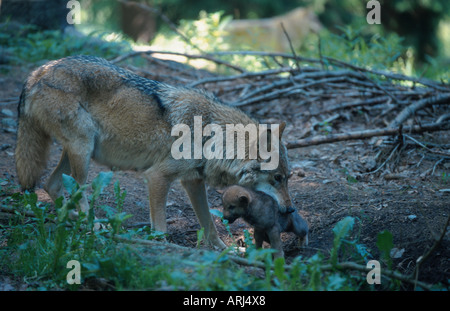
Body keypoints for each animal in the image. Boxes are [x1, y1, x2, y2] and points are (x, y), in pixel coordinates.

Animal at [14, 56, 292, 250]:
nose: (290, 211)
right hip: (83, 149)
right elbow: (160, 226)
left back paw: (72, 218)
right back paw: (93, 224)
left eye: (288, 178)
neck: (211, 135)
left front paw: (225, 251)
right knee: (76, 190)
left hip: (79, 151)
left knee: (51, 185)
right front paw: (161, 245)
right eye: (277, 178)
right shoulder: (157, 177)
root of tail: (37, 73)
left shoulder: (193, 181)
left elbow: (209, 225)